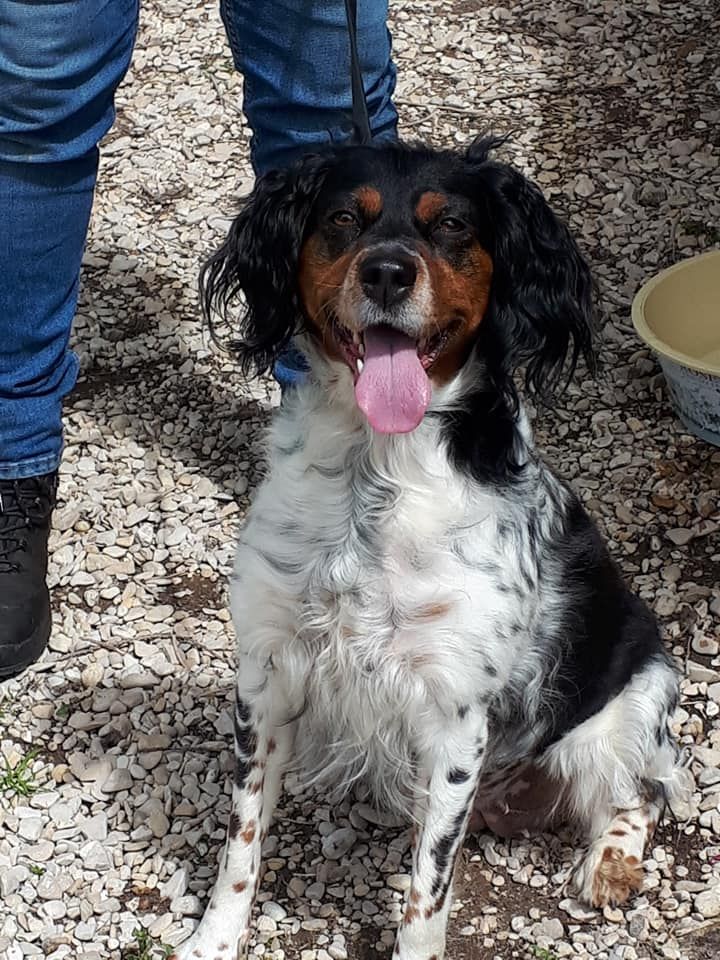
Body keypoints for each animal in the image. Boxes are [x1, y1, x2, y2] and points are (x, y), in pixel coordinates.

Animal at [170, 137, 692, 960]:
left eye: (449, 225)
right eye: (344, 218)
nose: (387, 272)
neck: (374, 473)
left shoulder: (454, 712)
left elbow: (427, 888)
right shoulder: (268, 673)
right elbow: (242, 839)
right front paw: (214, 940)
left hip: (632, 706)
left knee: (648, 790)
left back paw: (610, 863)